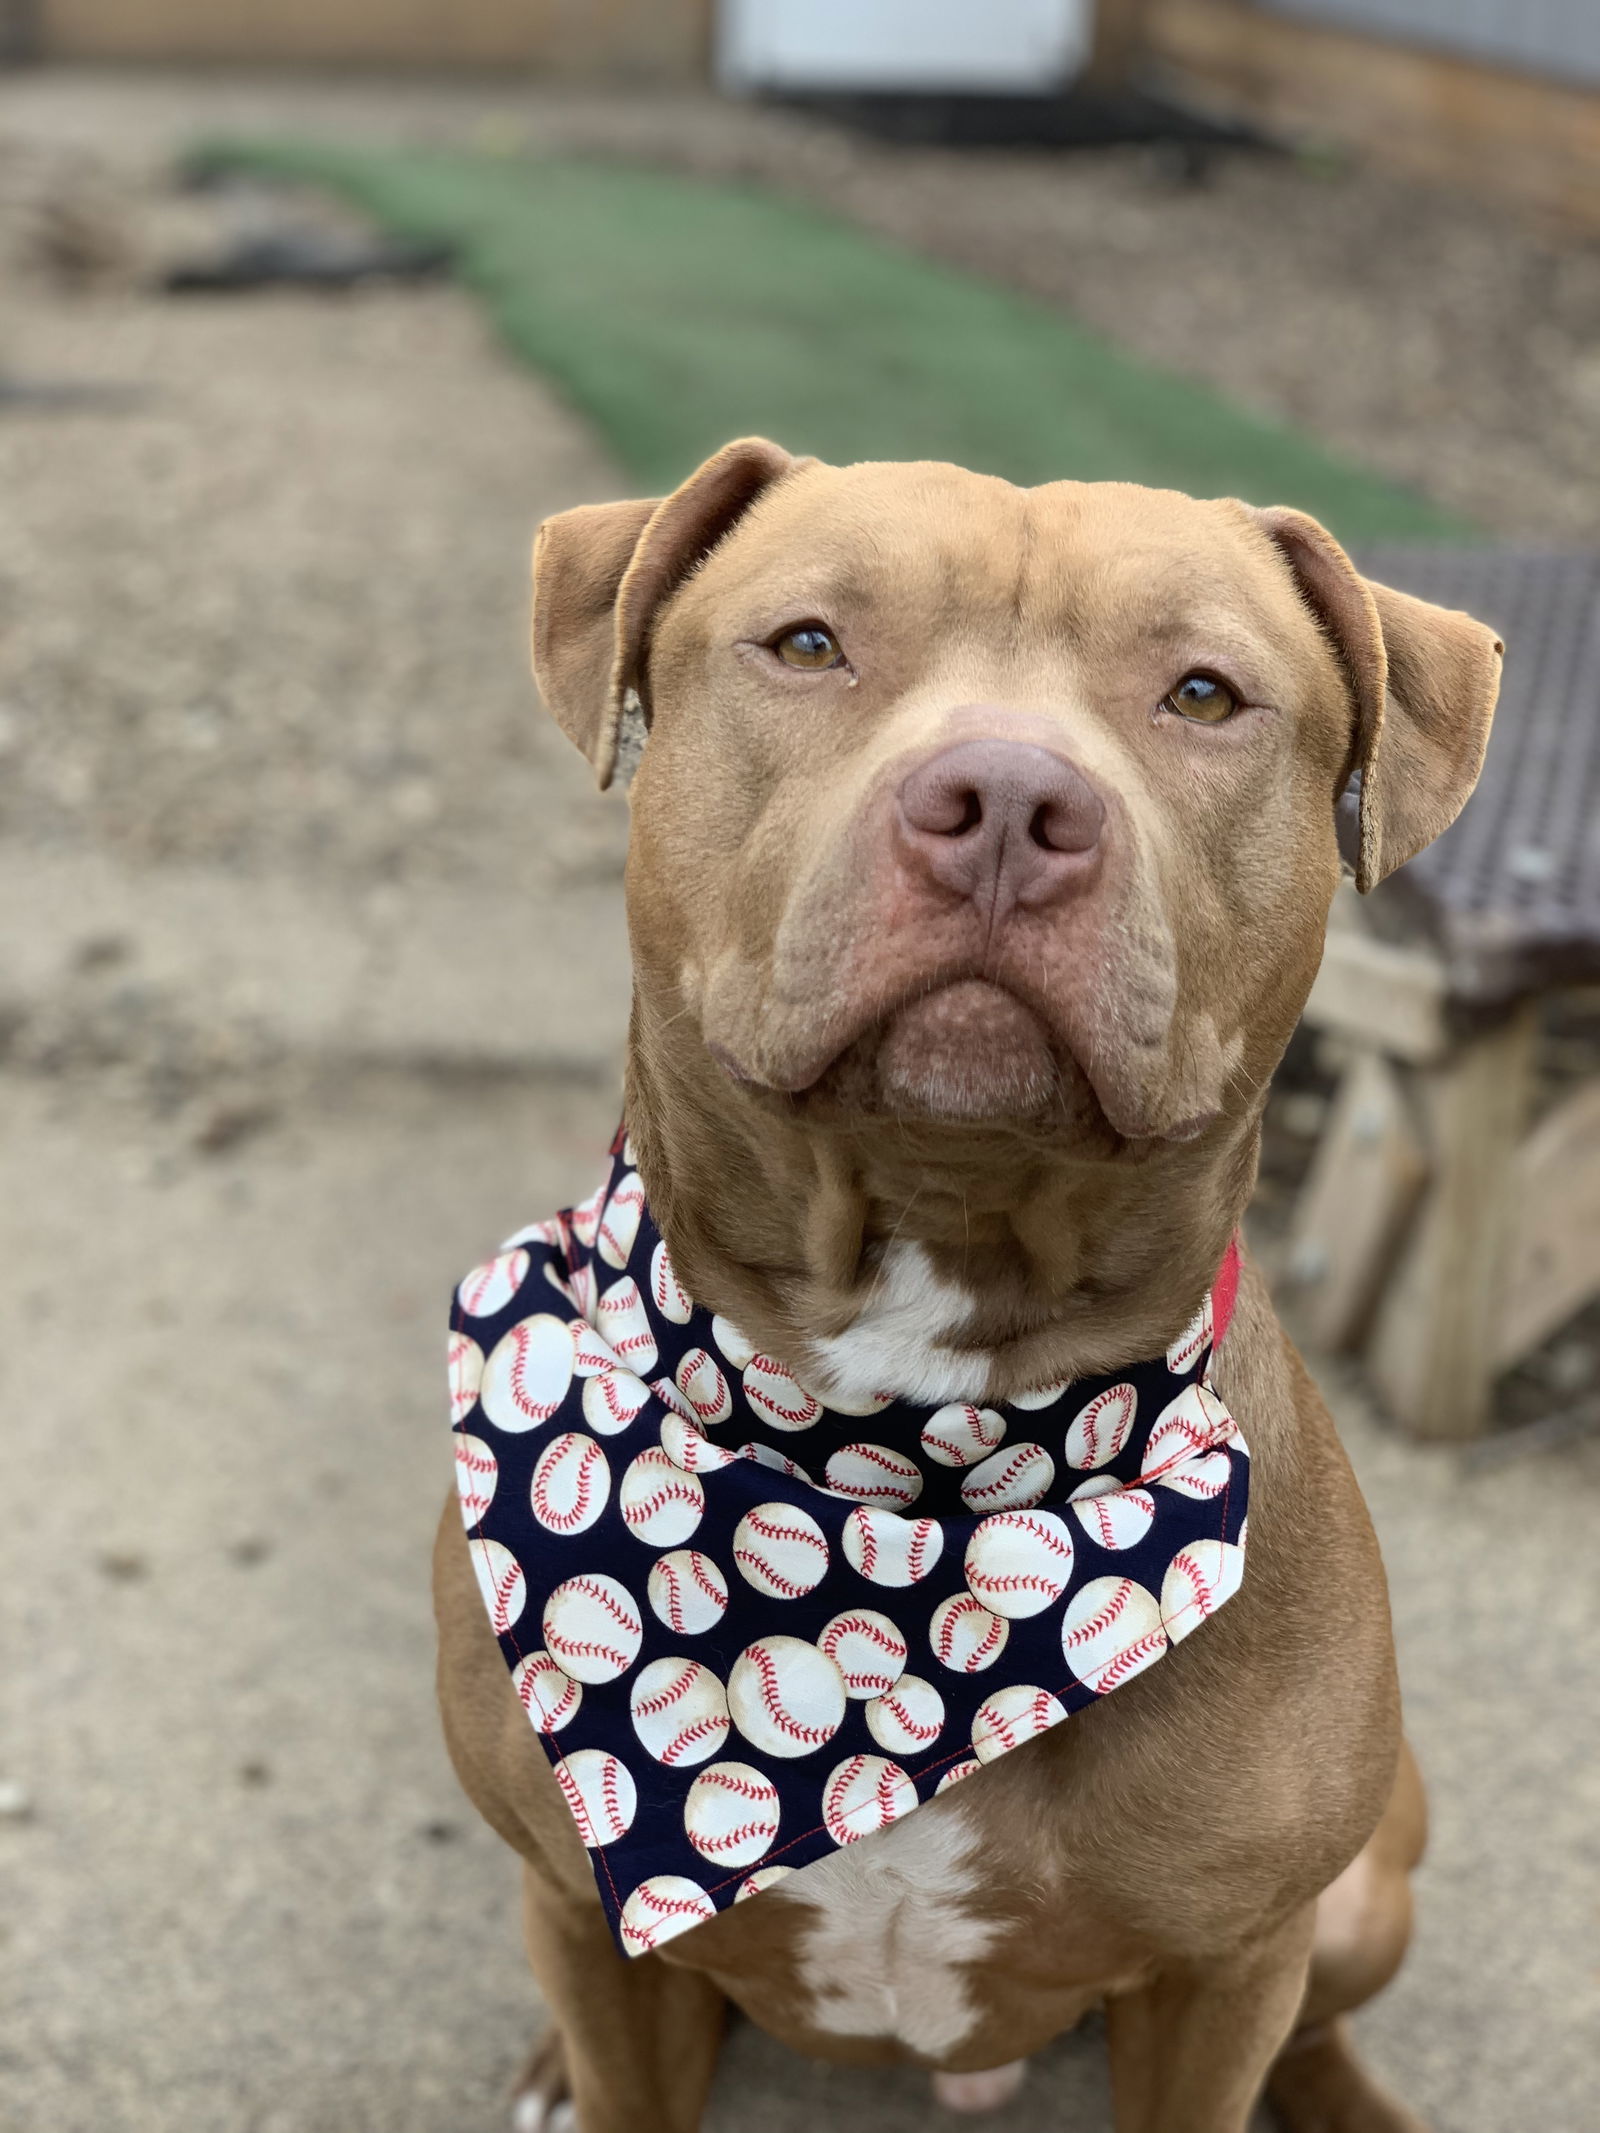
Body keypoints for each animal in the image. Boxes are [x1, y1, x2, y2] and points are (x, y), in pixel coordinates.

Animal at [428, 441, 1501, 2124]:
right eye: (809, 643)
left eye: (1204, 693)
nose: (1006, 801)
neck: (904, 1449)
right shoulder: (581, 1914)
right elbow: (625, 2062)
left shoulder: (1230, 1968)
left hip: (1360, 1896)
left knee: (1324, 2019)